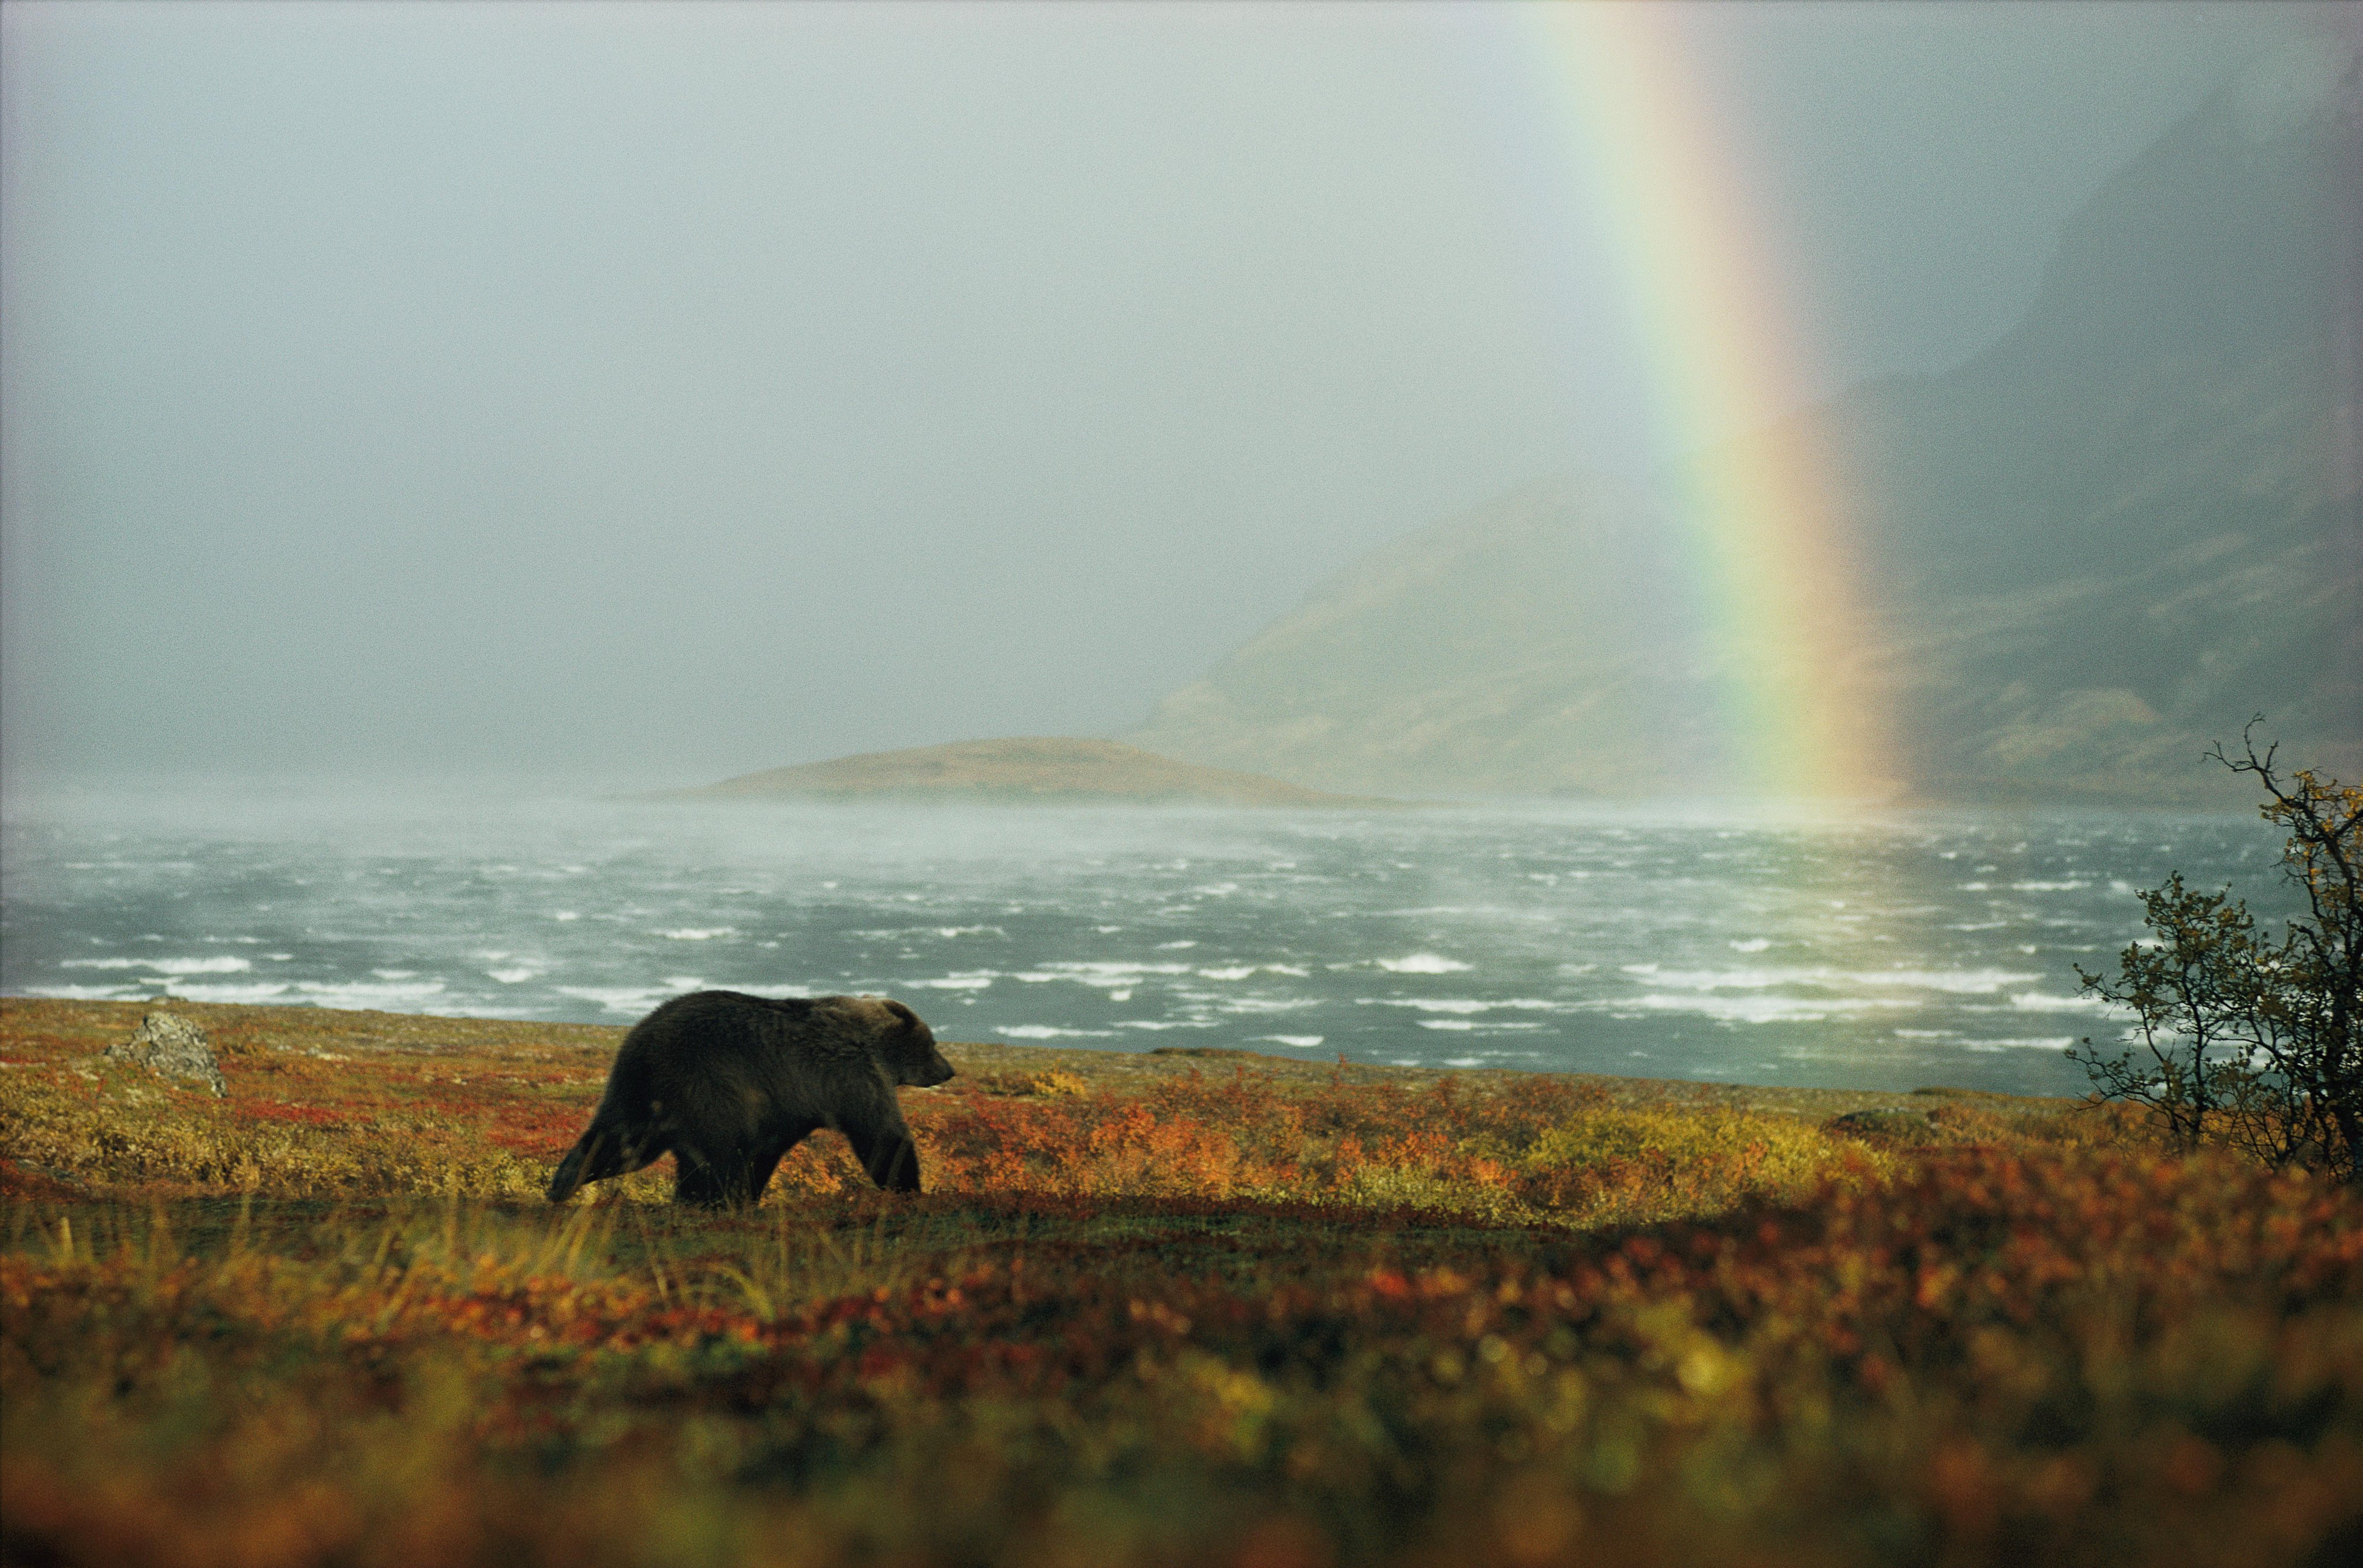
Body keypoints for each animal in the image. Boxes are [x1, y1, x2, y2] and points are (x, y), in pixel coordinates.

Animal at [548, 992, 954, 1209]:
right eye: (933, 1043)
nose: (949, 1070)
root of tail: (642, 1041)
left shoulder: (786, 1105)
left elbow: (765, 1152)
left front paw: (750, 1196)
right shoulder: (850, 1075)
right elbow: (883, 1137)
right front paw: (909, 1187)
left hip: (637, 1091)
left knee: (617, 1141)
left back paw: (563, 1183)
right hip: (707, 1085)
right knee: (714, 1158)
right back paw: (707, 1202)